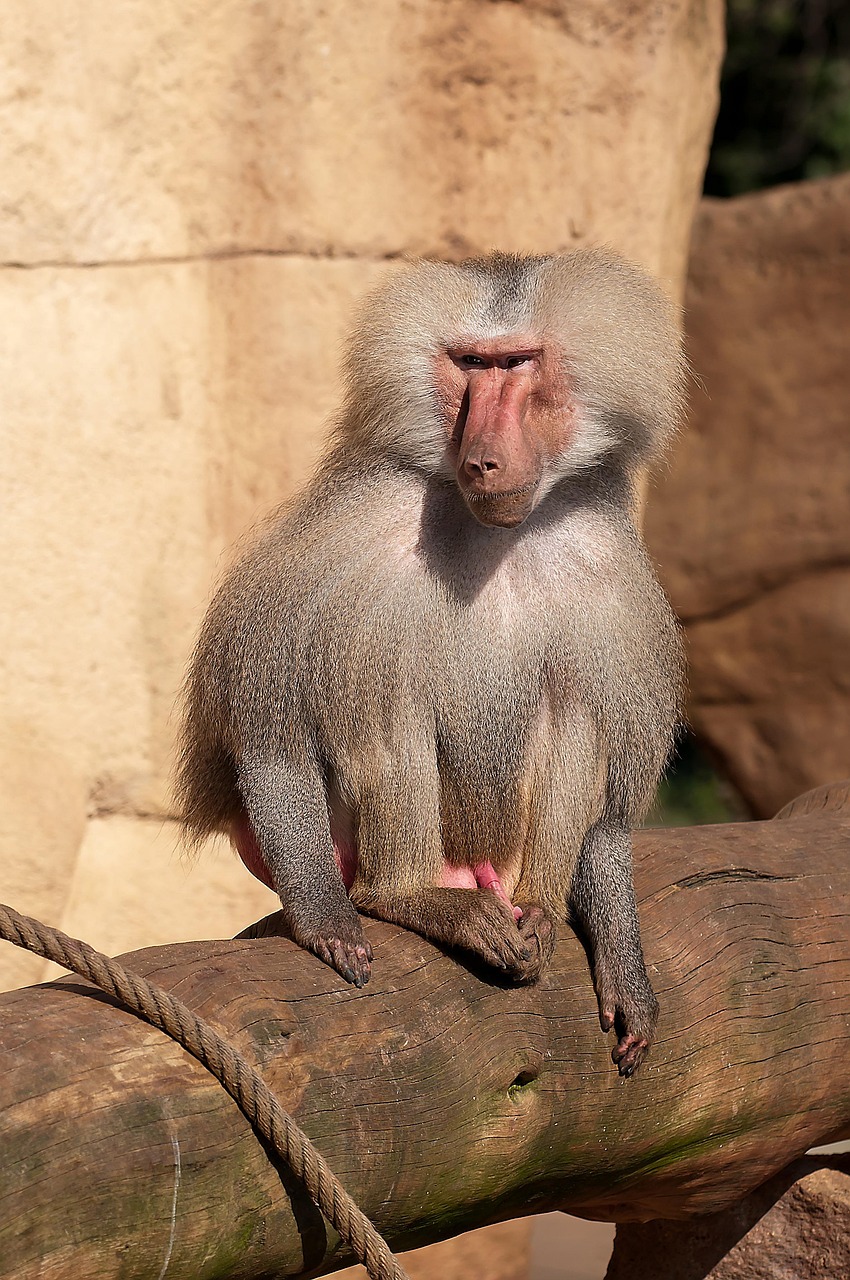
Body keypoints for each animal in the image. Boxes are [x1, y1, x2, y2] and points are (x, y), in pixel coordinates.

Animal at [176, 250, 685, 1077]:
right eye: (469, 365)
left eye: (517, 363)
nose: (482, 459)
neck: (500, 531)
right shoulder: (351, 532)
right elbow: (269, 730)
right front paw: (325, 921)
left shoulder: (609, 575)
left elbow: (606, 808)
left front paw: (626, 971)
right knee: (383, 695)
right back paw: (408, 897)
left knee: (572, 714)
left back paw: (539, 909)